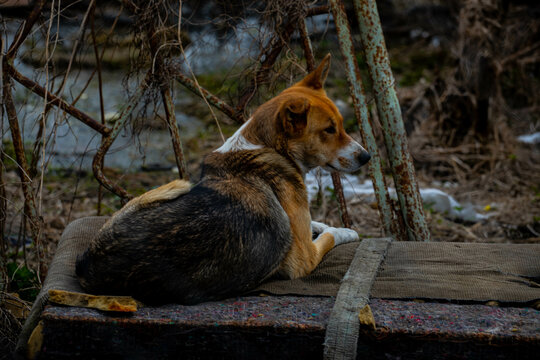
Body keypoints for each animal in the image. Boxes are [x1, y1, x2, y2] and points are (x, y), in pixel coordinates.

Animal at [77, 54, 372, 306]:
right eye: (329, 130)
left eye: (341, 125)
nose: (367, 157)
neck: (271, 149)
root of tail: (89, 264)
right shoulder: (304, 258)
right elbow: (331, 235)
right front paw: (347, 231)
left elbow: (315, 223)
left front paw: (322, 224)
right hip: (176, 186)